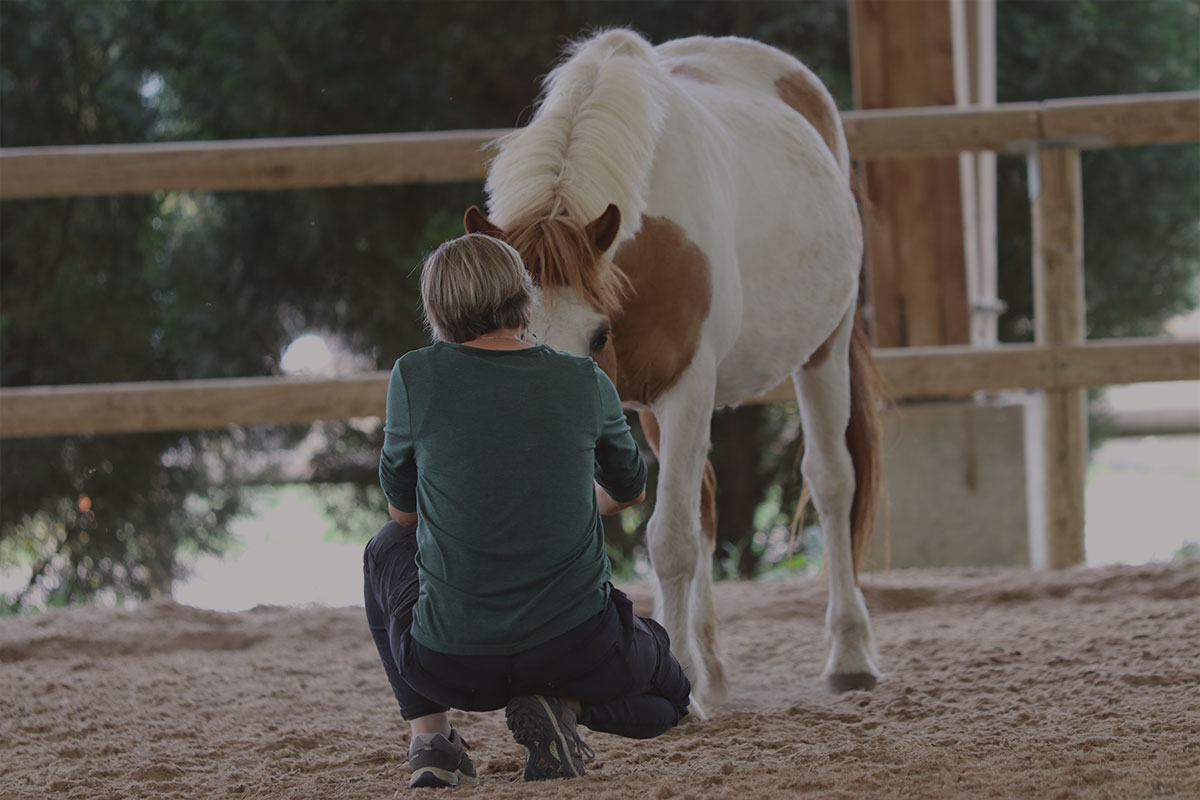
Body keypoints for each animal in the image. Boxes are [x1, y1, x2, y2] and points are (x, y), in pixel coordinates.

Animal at [464, 28, 882, 710]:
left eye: (596, 335)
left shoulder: (687, 388)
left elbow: (672, 541)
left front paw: (680, 687)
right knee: (708, 503)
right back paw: (709, 663)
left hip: (826, 348)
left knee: (830, 482)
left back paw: (849, 654)